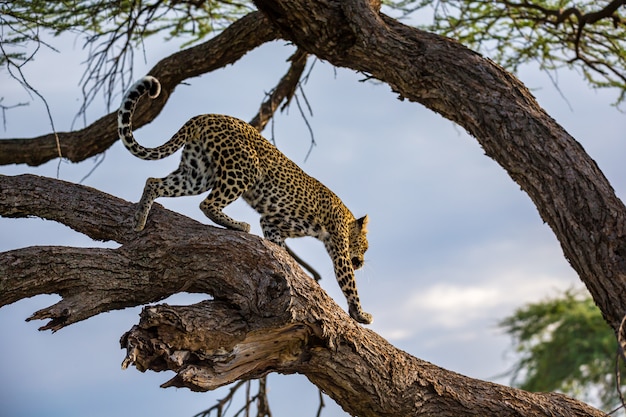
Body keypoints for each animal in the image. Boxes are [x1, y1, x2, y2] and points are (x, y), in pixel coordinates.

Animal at [117, 75, 370, 324]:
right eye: (365, 247)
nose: (362, 263)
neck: (346, 218)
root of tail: (205, 116)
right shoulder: (339, 249)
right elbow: (349, 282)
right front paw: (361, 314)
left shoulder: (272, 222)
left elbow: (279, 247)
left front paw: (289, 270)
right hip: (243, 169)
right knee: (207, 204)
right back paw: (239, 225)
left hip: (197, 174)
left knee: (154, 181)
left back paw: (140, 218)